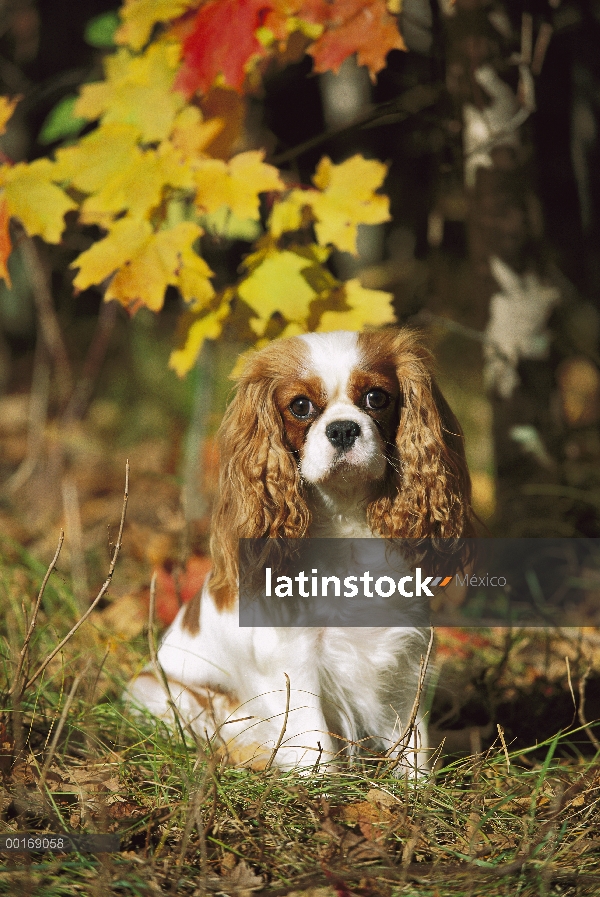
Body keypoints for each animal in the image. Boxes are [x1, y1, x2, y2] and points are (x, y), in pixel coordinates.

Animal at [126, 328, 474, 768]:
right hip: (156, 692)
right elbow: (317, 744)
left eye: (376, 397)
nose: (343, 429)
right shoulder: (293, 661)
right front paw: (323, 785)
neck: (345, 520)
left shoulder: (404, 659)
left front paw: (418, 784)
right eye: (301, 406)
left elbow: (413, 745)